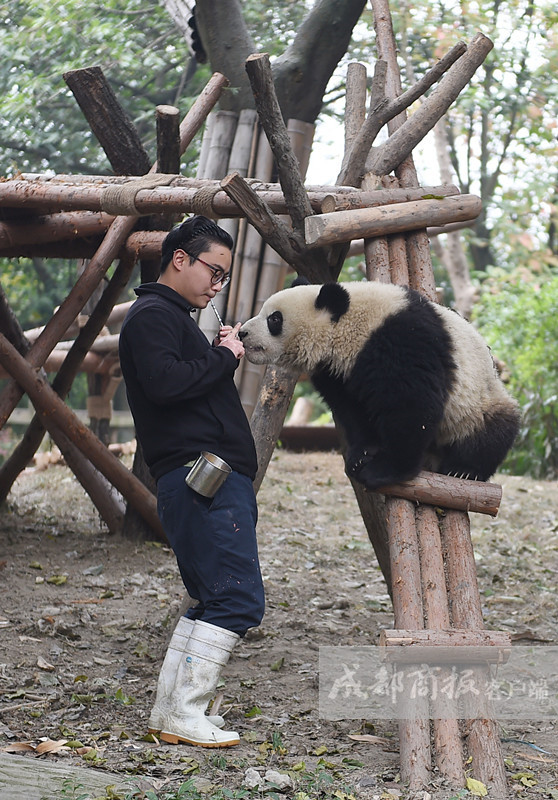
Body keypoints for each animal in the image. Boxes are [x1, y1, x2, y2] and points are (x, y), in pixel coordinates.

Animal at [242, 282, 524, 494]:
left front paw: (384, 471)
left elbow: (412, 405)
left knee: (493, 431)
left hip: (478, 402)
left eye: (274, 319)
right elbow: (352, 410)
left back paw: (464, 469)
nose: (243, 333)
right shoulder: (337, 371)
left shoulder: (400, 339)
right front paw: (362, 454)